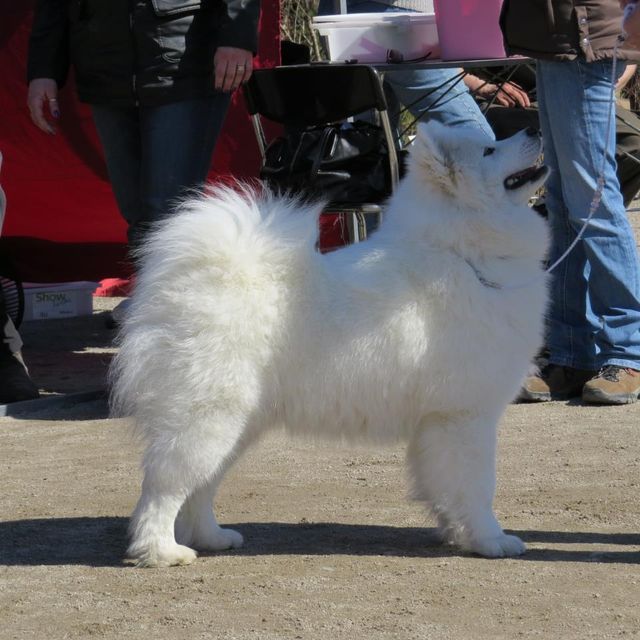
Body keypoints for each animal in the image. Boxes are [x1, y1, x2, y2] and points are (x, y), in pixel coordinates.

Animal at [110, 120, 552, 564]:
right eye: (489, 151)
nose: (534, 128)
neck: (462, 254)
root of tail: (201, 279)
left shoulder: (438, 423)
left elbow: (445, 488)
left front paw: (455, 532)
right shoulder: (463, 416)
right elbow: (478, 486)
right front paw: (491, 540)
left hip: (236, 425)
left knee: (201, 487)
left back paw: (211, 537)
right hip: (206, 418)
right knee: (163, 489)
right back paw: (161, 551)